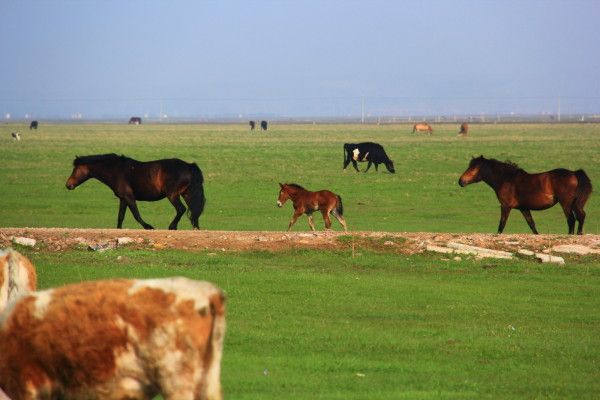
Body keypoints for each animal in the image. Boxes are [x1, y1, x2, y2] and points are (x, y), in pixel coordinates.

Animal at [66, 155, 206, 230]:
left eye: (75, 169)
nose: (68, 185)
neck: (116, 170)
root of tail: (189, 166)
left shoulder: (129, 197)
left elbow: (136, 215)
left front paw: (149, 227)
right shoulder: (123, 199)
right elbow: (120, 216)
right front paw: (118, 229)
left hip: (172, 195)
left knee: (181, 209)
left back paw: (172, 226)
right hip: (187, 194)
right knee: (193, 211)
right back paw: (196, 228)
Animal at [460, 155, 592, 234]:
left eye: (473, 168)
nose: (460, 181)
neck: (506, 179)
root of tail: (574, 173)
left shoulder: (505, 206)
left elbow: (501, 225)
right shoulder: (524, 208)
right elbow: (532, 225)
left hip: (566, 203)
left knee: (571, 219)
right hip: (574, 203)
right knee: (581, 216)